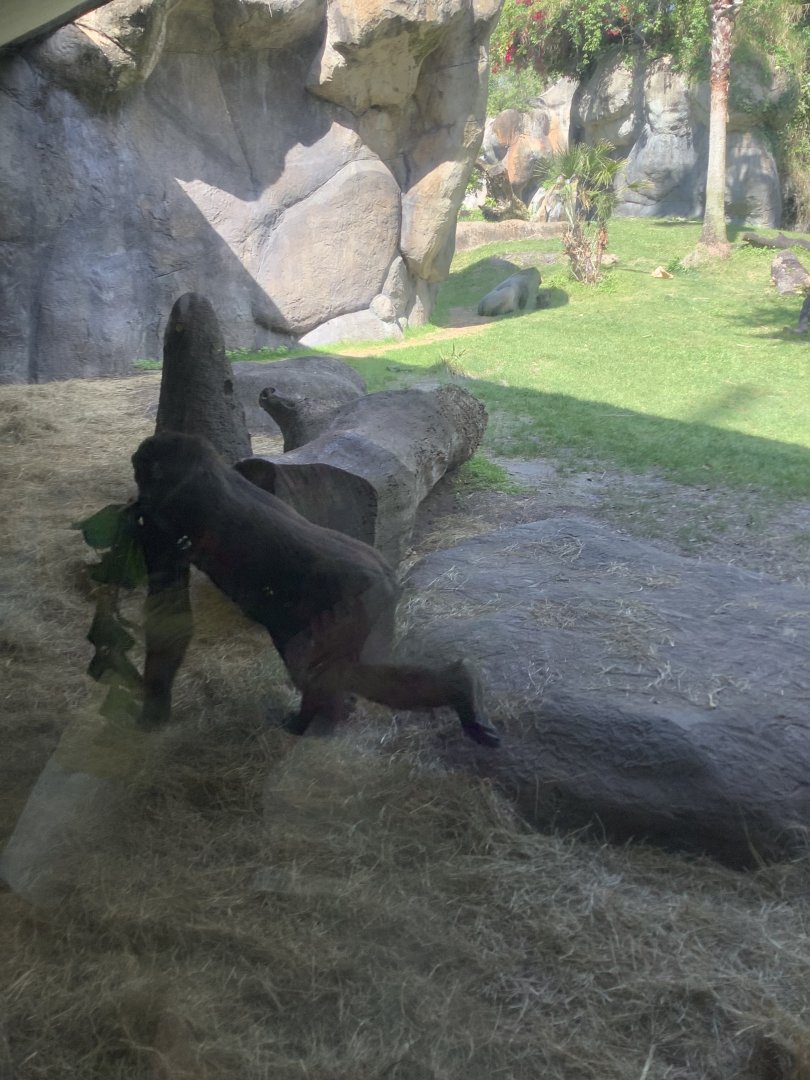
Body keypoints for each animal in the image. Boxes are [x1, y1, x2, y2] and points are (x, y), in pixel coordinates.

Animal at [131, 431, 500, 747]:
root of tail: (387, 573)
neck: (202, 467)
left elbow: (168, 607)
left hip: (358, 604)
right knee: (349, 671)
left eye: (140, 468)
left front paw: (152, 707)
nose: (134, 490)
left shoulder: (162, 514)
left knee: (339, 672)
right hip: (375, 607)